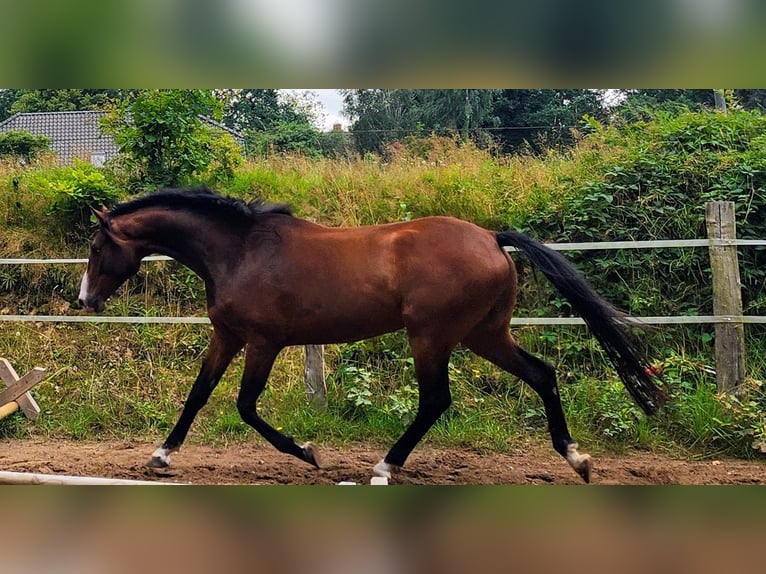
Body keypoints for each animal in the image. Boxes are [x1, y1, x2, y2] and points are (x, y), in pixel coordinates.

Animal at [79, 187, 664, 484]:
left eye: (96, 247)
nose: (84, 301)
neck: (239, 251)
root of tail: (490, 238)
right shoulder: (228, 335)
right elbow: (198, 394)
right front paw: (160, 456)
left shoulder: (264, 341)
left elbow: (245, 406)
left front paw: (309, 452)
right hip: (484, 334)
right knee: (542, 375)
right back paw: (576, 459)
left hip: (431, 335)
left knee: (436, 400)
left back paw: (384, 466)